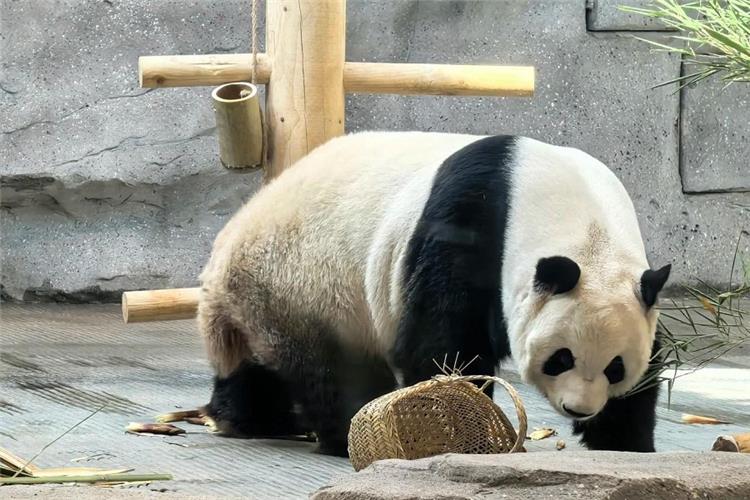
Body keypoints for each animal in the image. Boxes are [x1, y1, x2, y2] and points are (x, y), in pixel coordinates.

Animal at [197, 131, 671, 456]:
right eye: (561, 358)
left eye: (614, 367)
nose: (579, 409)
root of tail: (222, 254)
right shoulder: (469, 224)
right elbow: (441, 342)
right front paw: (458, 425)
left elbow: (651, 363)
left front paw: (624, 442)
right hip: (300, 289)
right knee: (330, 370)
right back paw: (333, 429)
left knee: (252, 366)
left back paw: (249, 418)